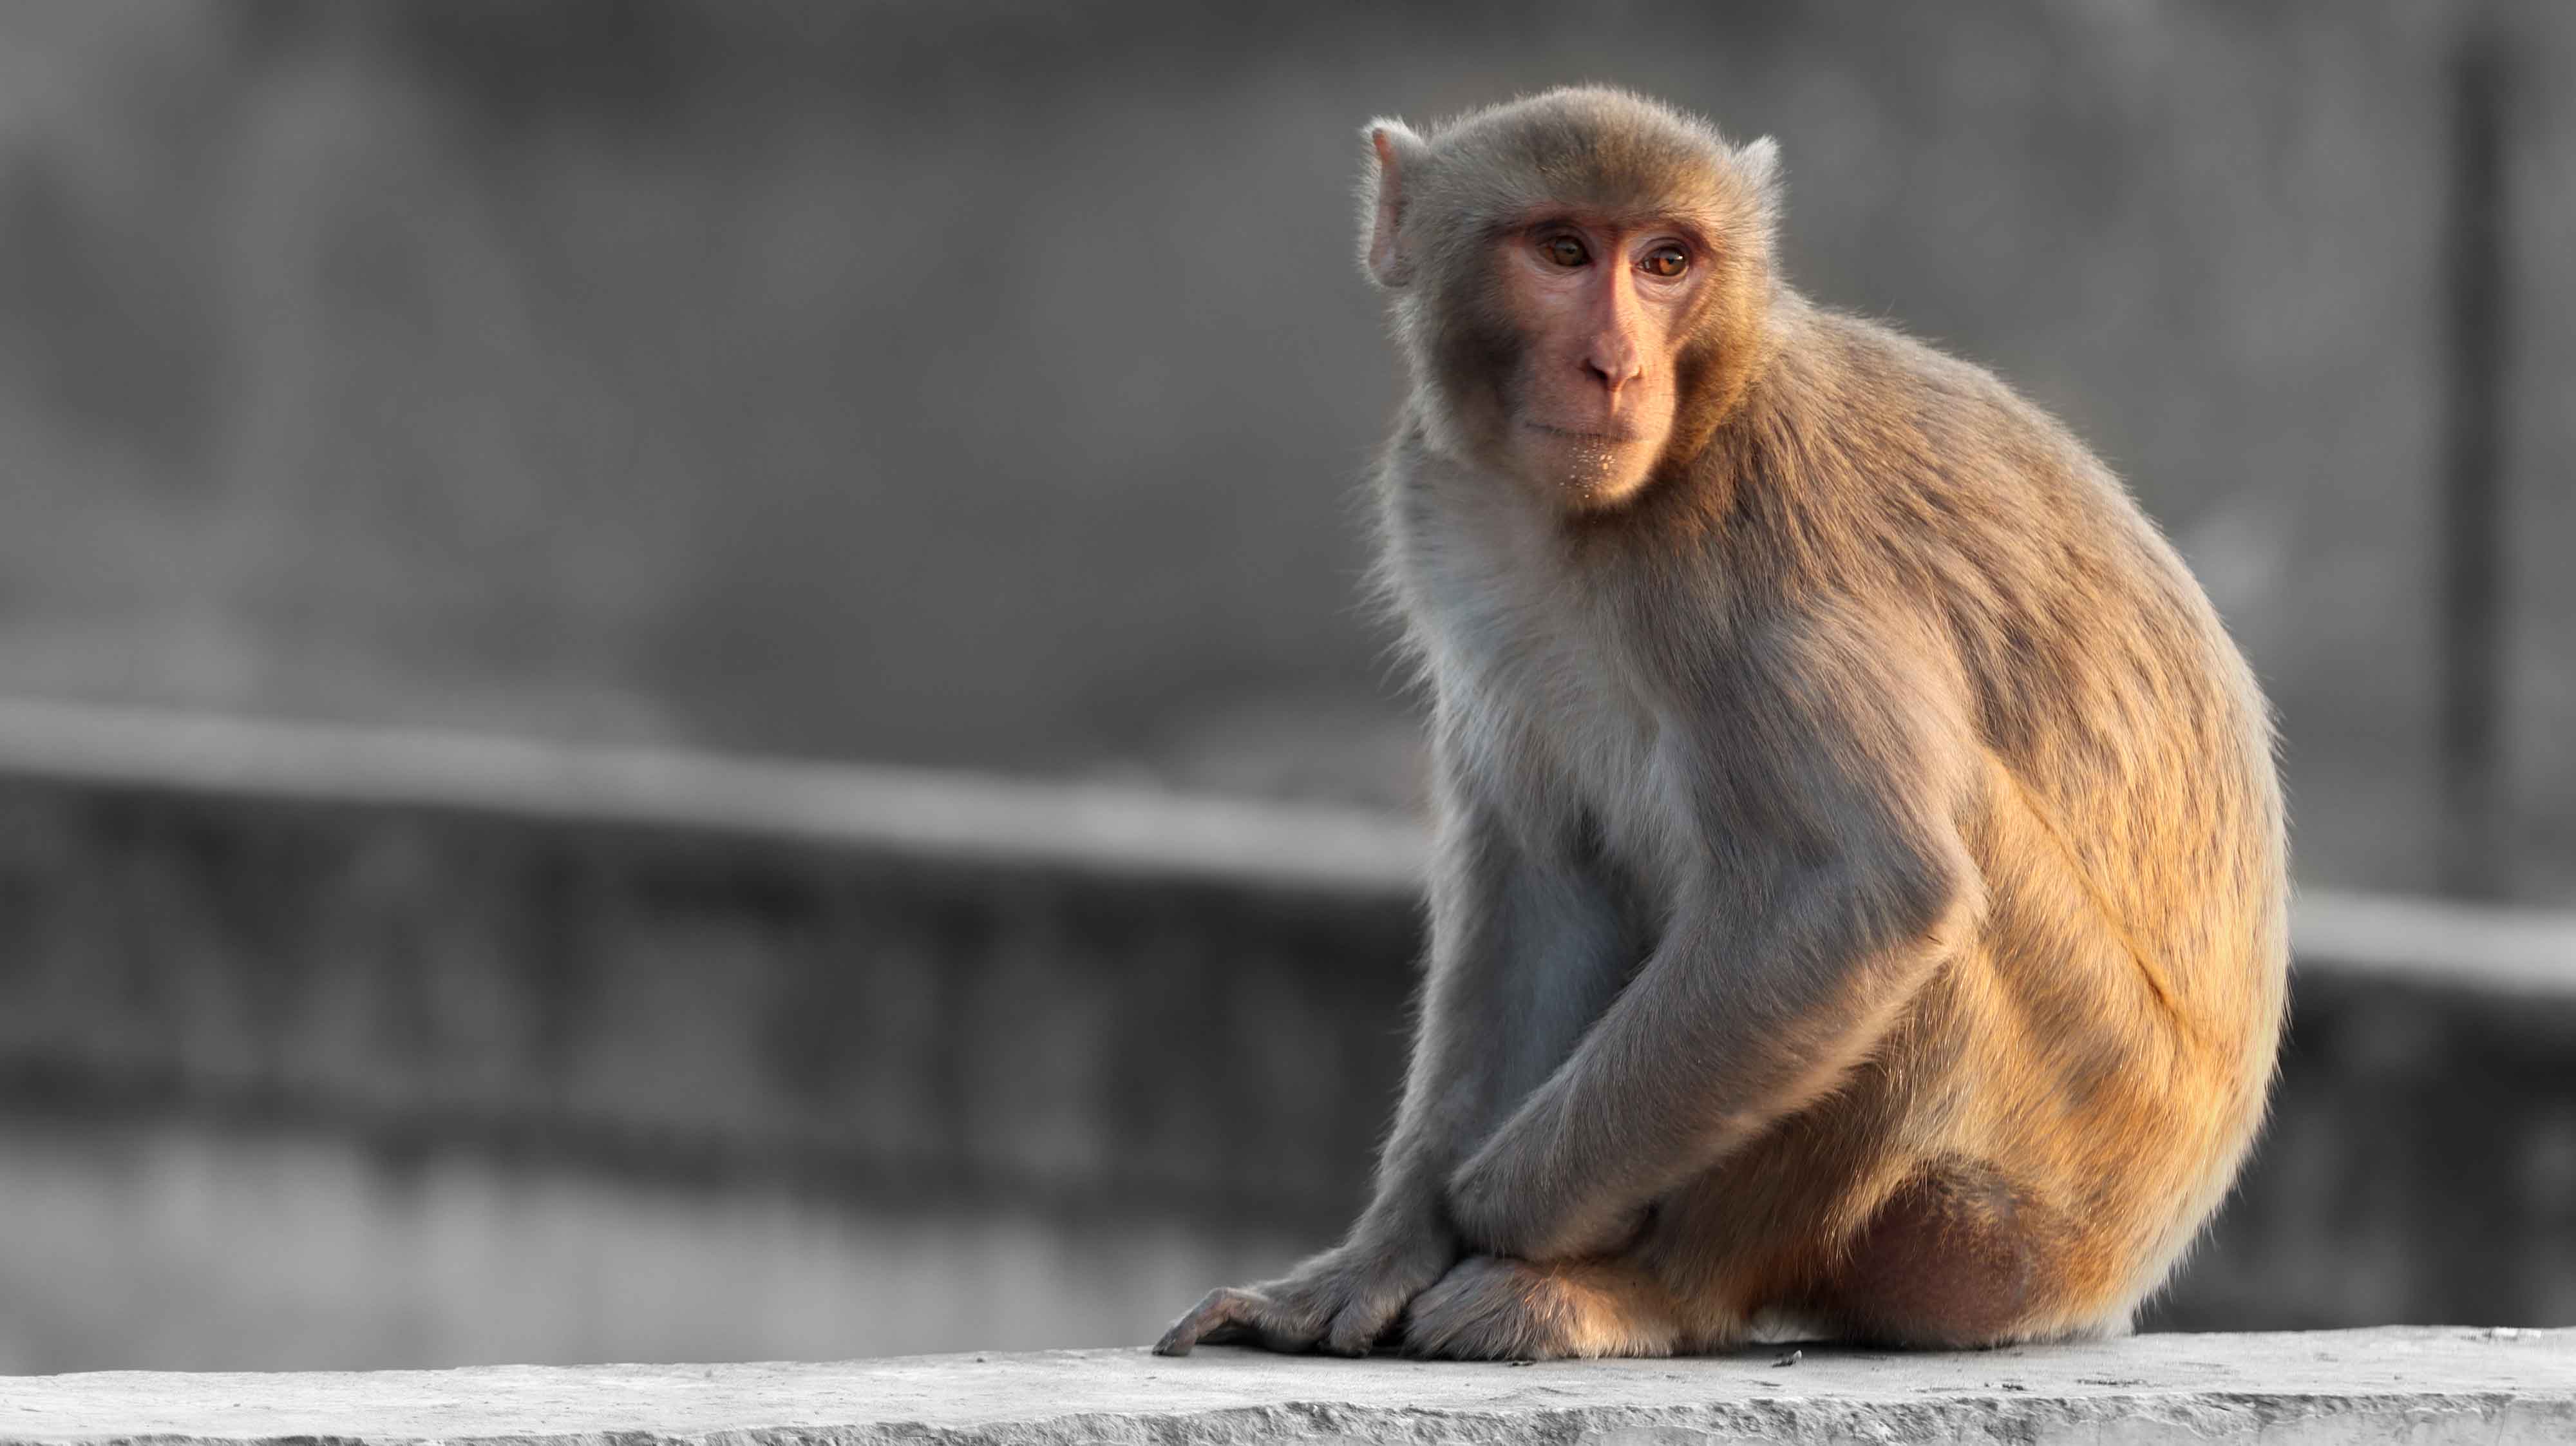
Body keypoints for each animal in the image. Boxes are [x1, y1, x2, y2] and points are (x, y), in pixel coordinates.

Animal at [1153, 87, 2287, 1360]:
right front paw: (1387, 1249)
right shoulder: (1441, 523)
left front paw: (1484, 1208)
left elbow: (1853, 890)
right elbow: (1542, 886)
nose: (1613, 366)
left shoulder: (1751, 542)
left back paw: (1649, 1288)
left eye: (1666, 262)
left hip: (2035, 1200)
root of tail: (2124, 1269)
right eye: (1563, 251)